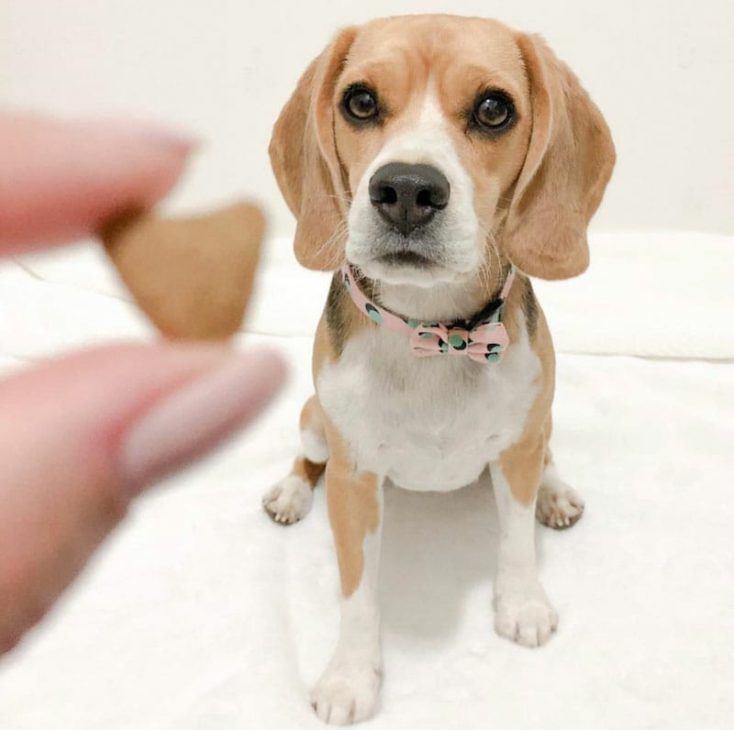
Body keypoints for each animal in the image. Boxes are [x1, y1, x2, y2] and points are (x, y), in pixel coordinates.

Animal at [264, 14, 616, 724]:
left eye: (493, 109)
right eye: (360, 101)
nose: (405, 188)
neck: (435, 334)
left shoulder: (517, 447)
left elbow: (515, 540)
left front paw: (522, 603)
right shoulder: (353, 479)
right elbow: (357, 592)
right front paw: (350, 677)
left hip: (541, 420)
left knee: (547, 453)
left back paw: (556, 492)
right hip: (315, 422)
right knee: (307, 457)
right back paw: (290, 491)